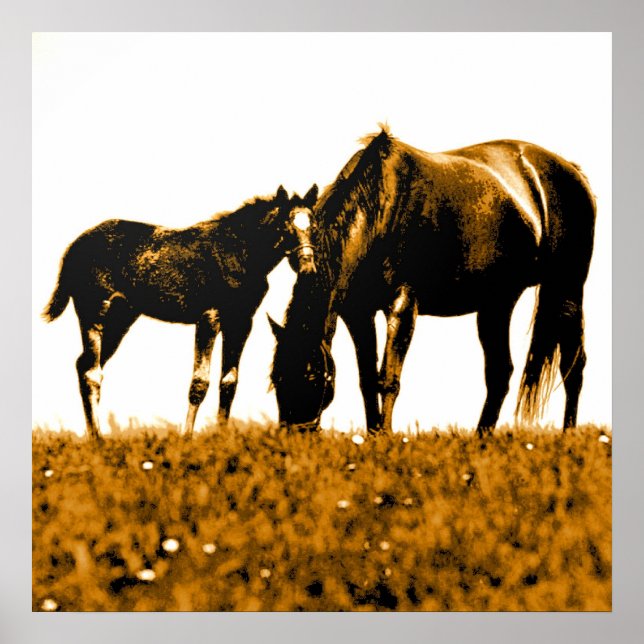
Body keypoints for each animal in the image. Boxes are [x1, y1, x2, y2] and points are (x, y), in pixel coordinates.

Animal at [44, 184, 319, 440]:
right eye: (287, 226)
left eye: (314, 227)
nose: (308, 268)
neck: (240, 252)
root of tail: (73, 248)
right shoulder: (209, 317)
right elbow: (200, 382)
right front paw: (186, 437)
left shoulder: (241, 321)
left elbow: (229, 382)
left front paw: (221, 437)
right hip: (94, 313)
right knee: (92, 372)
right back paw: (98, 438)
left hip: (121, 317)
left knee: (85, 365)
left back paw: (94, 434)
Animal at [270, 128, 596, 435]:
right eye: (276, 377)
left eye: (312, 375)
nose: (294, 435)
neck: (380, 207)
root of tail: (573, 171)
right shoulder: (358, 313)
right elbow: (367, 379)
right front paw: (373, 435)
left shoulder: (403, 304)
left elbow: (388, 378)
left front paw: (385, 436)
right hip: (497, 303)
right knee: (500, 372)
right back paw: (481, 437)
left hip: (567, 289)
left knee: (573, 364)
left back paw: (567, 433)